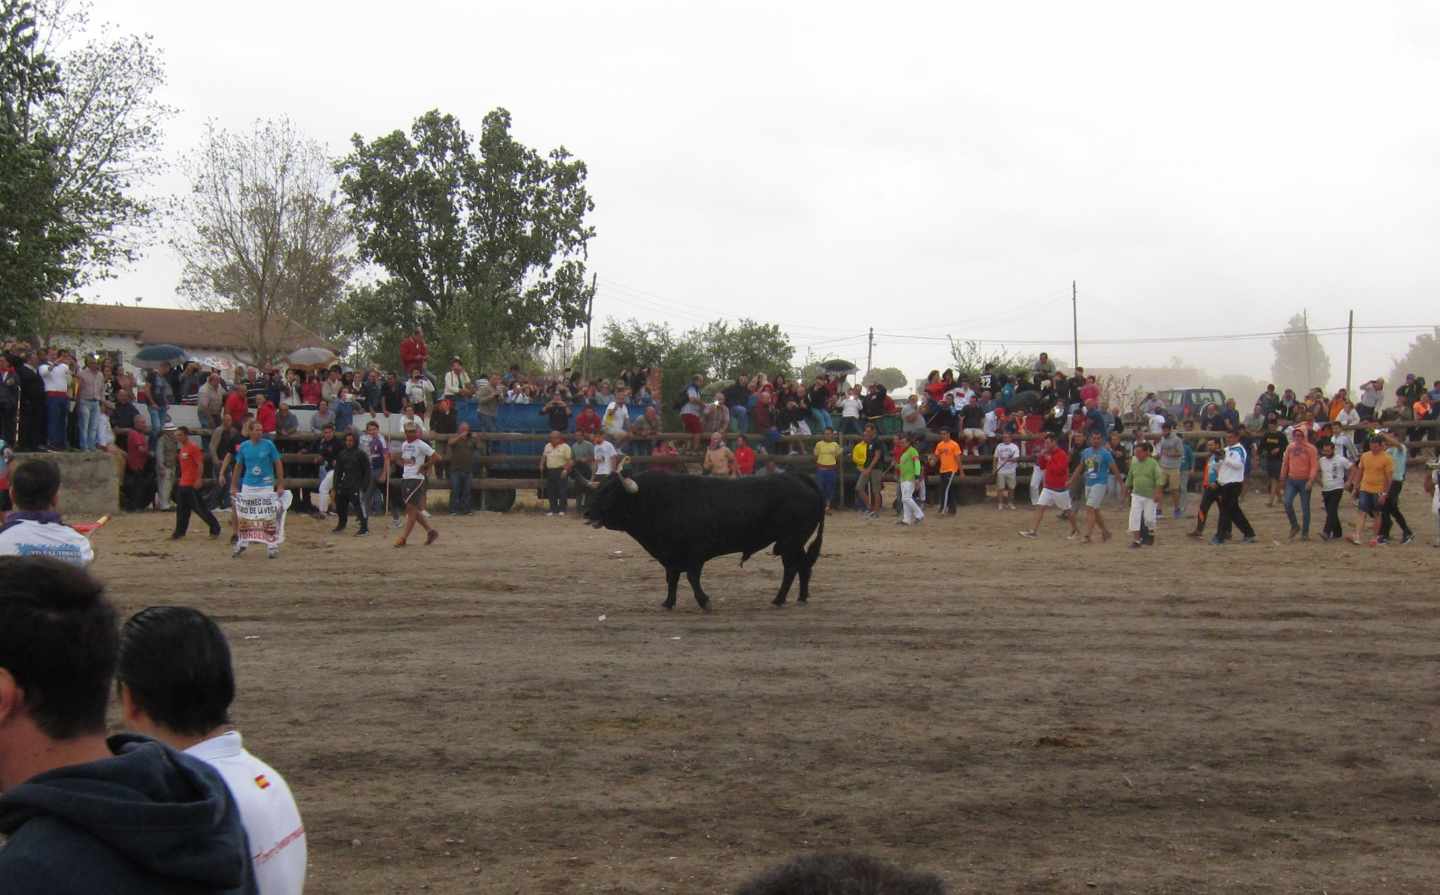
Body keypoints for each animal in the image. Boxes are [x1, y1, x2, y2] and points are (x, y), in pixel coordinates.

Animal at [581, 469, 823, 610]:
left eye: (610, 492)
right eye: (598, 489)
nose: (586, 512)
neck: (658, 500)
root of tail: (800, 478)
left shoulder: (696, 552)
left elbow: (691, 577)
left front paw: (704, 601)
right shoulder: (670, 554)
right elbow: (672, 578)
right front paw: (668, 603)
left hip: (790, 541)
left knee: (791, 568)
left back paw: (779, 599)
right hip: (796, 542)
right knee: (804, 566)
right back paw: (802, 597)